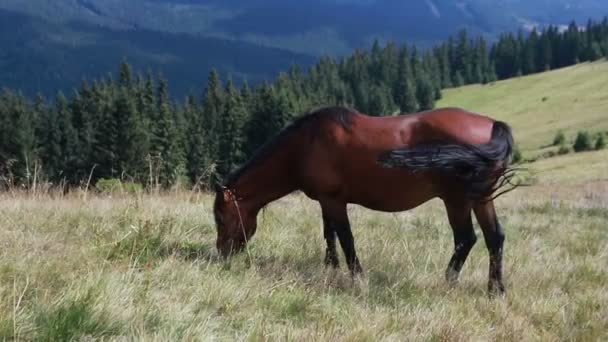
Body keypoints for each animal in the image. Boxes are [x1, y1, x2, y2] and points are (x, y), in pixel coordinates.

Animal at [214, 105, 516, 296]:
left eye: (220, 218)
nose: (221, 255)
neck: (305, 146)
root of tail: (493, 126)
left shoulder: (334, 201)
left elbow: (345, 239)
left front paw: (357, 278)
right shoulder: (325, 201)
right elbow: (329, 236)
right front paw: (331, 269)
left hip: (456, 199)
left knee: (466, 238)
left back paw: (449, 281)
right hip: (480, 198)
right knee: (494, 237)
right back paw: (496, 289)